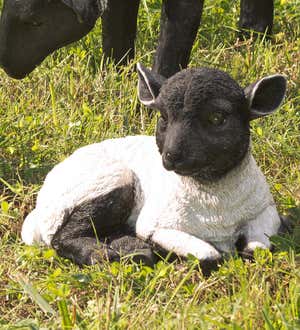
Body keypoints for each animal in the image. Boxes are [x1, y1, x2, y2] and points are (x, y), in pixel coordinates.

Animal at [0, 0, 274, 78]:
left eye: (36, 22)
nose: (6, 65)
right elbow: (116, 29)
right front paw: (115, 76)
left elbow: (173, 42)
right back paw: (252, 38)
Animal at [21, 64, 286, 268]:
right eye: (163, 118)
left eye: (217, 118)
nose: (171, 156)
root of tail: (39, 208)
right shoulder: (156, 223)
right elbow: (208, 255)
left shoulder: (265, 210)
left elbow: (258, 247)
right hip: (103, 183)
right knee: (61, 236)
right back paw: (105, 254)